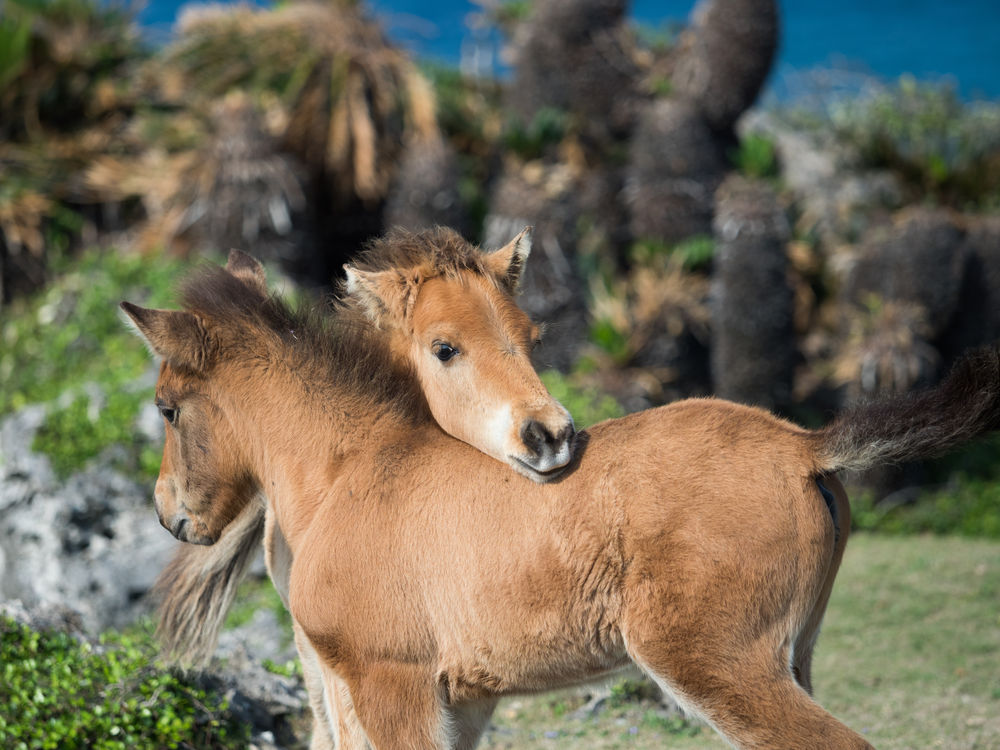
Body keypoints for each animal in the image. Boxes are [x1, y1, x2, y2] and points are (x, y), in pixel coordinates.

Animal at [124, 237, 1000, 749]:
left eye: (166, 407)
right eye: (445, 346)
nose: (172, 514)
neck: (356, 468)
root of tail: (802, 444)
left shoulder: (389, 680)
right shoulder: (456, 697)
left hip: (720, 663)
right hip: (794, 656)